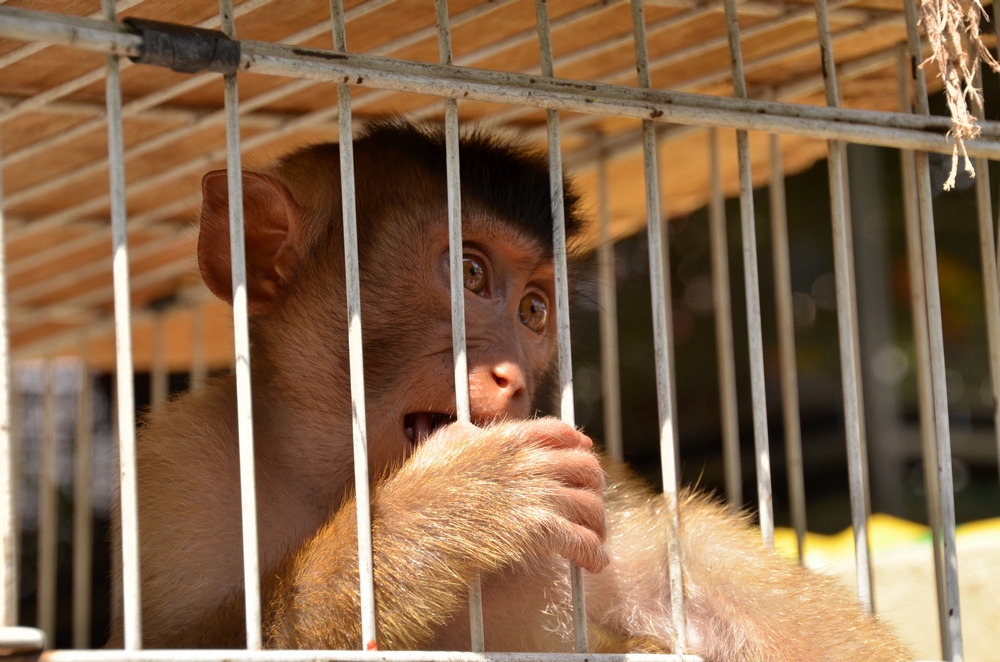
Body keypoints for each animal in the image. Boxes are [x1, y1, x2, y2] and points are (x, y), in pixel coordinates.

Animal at [107, 120, 908, 662]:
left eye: (533, 311)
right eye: (469, 273)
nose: (514, 376)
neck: (330, 481)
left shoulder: (602, 507)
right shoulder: (179, 469)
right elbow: (167, 642)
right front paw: (445, 508)